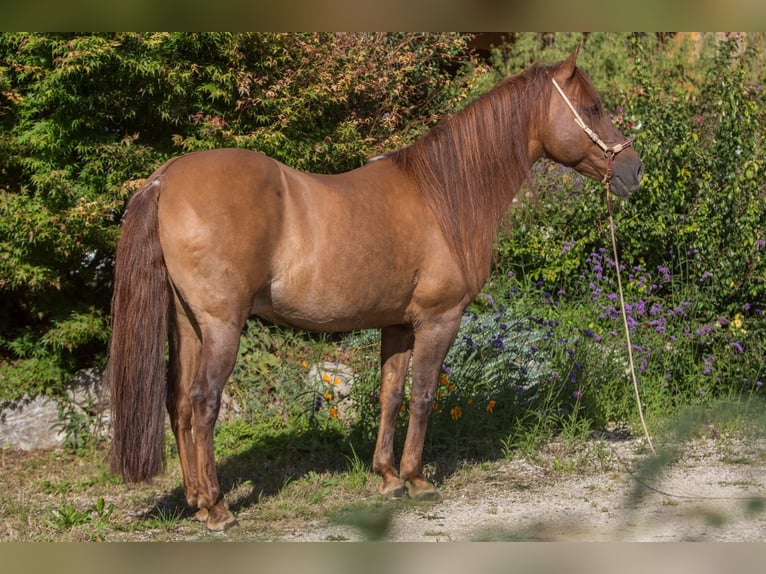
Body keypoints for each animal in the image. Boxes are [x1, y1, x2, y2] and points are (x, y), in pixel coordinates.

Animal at [106, 47, 640, 532]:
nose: (632, 169)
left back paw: (197, 501)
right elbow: (424, 394)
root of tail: (165, 179)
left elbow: (391, 394)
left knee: (178, 404)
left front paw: (387, 477)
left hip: (189, 325)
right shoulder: (439, 319)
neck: (442, 196)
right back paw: (217, 509)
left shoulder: (398, 324)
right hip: (221, 325)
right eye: (593, 108)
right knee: (203, 402)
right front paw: (418, 479)